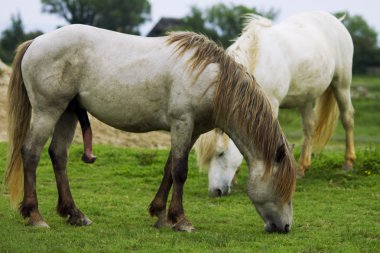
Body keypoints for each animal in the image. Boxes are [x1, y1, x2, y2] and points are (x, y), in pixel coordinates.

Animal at [5, 25, 296, 233]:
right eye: (283, 187)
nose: (285, 227)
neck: (211, 80)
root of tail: (36, 42)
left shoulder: (191, 130)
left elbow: (170, 169)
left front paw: (160, 215)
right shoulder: (182, 123)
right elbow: (180, 171)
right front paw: (181, 220)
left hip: (67, 112)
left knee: (58, 155)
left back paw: (74, 214)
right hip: (48, 110)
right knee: (31, 153)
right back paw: (35, 215)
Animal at [194, 10, 354, 197]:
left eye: (220, 153)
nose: (216, 191)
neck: (257, 57)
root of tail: (336, 20)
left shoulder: (272, 104)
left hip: (341, 85)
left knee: (347, 118)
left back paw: (348, 162)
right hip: (305, 98)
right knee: (309, 127)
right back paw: (302, 168)